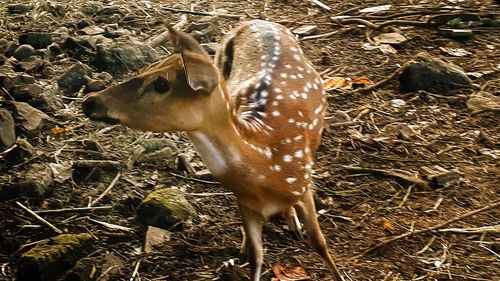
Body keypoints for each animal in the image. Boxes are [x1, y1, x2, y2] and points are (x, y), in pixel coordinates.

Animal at [83, 20, 344, 280]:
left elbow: (319, 242)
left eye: (161, 83)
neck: (265, 164)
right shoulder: (245, 202)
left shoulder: (303, 184)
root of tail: (255, 21)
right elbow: (256, 257)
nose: (89, 101)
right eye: (147, 67)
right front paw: (247, 248)